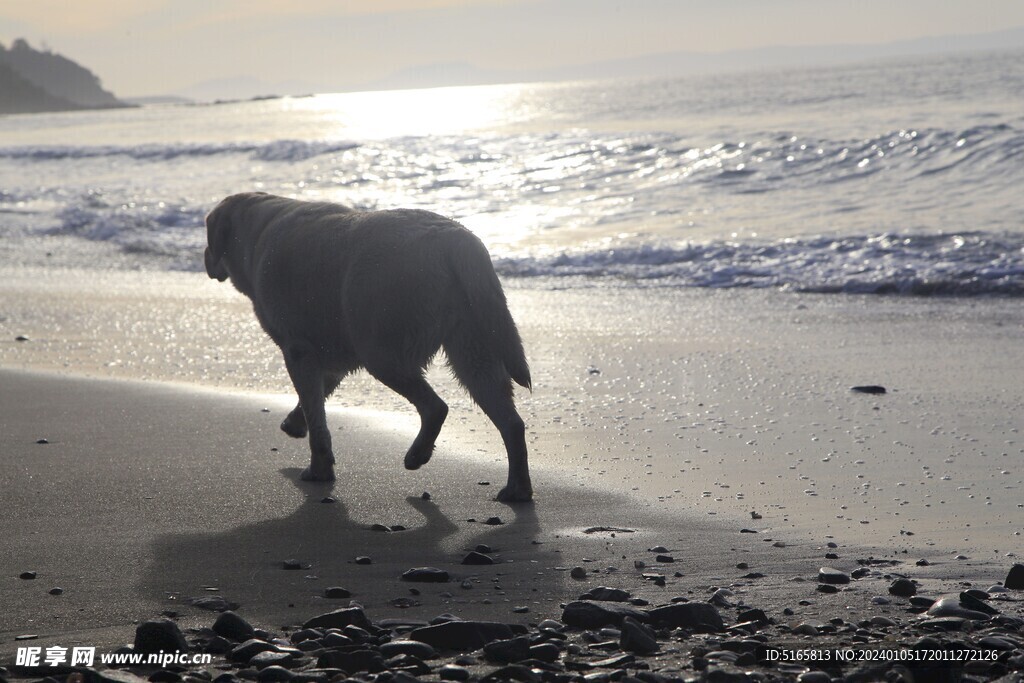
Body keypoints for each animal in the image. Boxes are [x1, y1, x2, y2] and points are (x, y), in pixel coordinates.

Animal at [201, 192, 536, 501]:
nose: (204, 256)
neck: (256, 231)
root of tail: (455, 240)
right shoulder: (332, 357)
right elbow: (317, 400)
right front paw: (295, 423)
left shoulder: (298, 351)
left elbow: (316, 417)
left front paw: (319, 469)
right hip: (474, 346)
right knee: (511, 423)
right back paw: (517, 489)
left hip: (382, 350)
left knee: (436, 407)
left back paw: (417, 455)